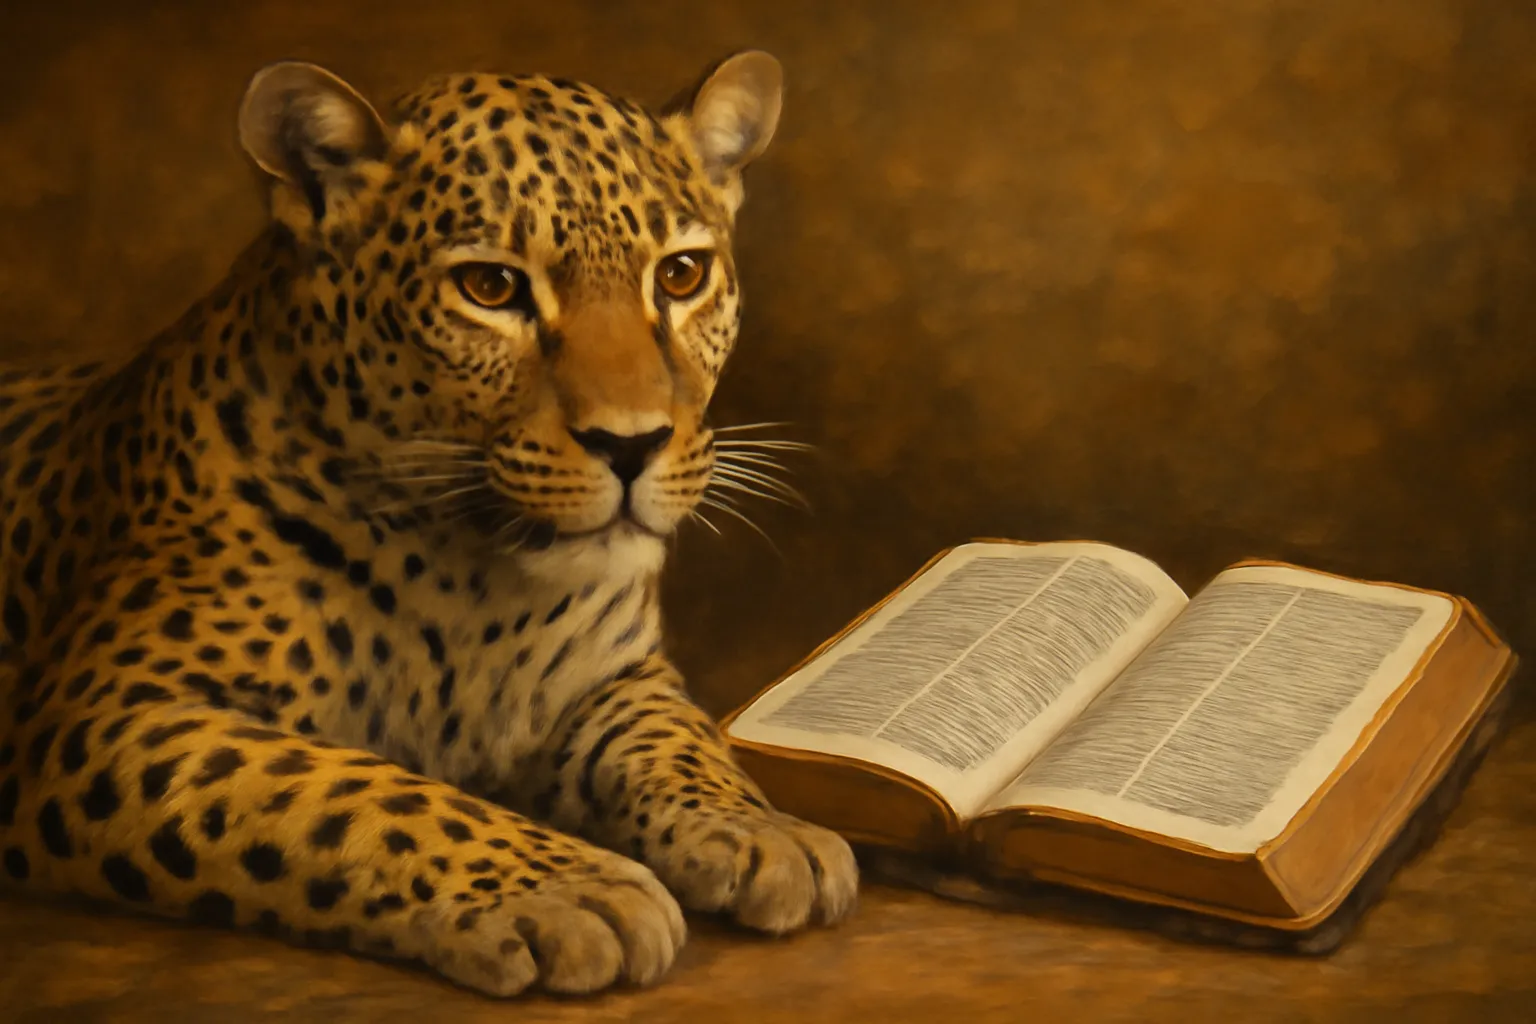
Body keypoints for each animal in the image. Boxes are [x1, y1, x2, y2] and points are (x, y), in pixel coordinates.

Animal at [0, 51, 859, 997]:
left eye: (680, 277)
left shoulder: (615, 677)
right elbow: (350, 787)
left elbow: (681, 738)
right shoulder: (105, 714)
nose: (631, 444)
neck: (477, 580)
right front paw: (572, 887)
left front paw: (766, 829)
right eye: (490, 288)